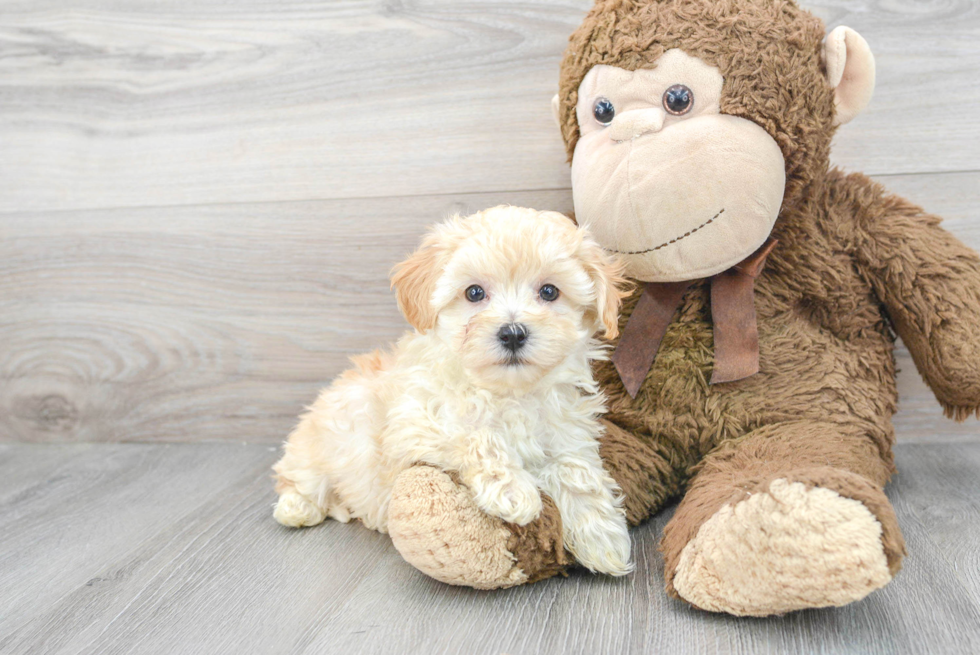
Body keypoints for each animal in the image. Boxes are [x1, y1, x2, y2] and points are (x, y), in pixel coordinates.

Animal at [272, 208, 632, 576]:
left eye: (549, 291)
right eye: (474, 293)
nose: (513, 333)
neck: (508, 391)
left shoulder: (568, 435)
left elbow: (576, 471)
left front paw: (603, 538)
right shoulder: (413, 425)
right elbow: (476, 435)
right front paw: (514, 491)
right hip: (316, 448)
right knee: (296, 479)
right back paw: (297, 508)